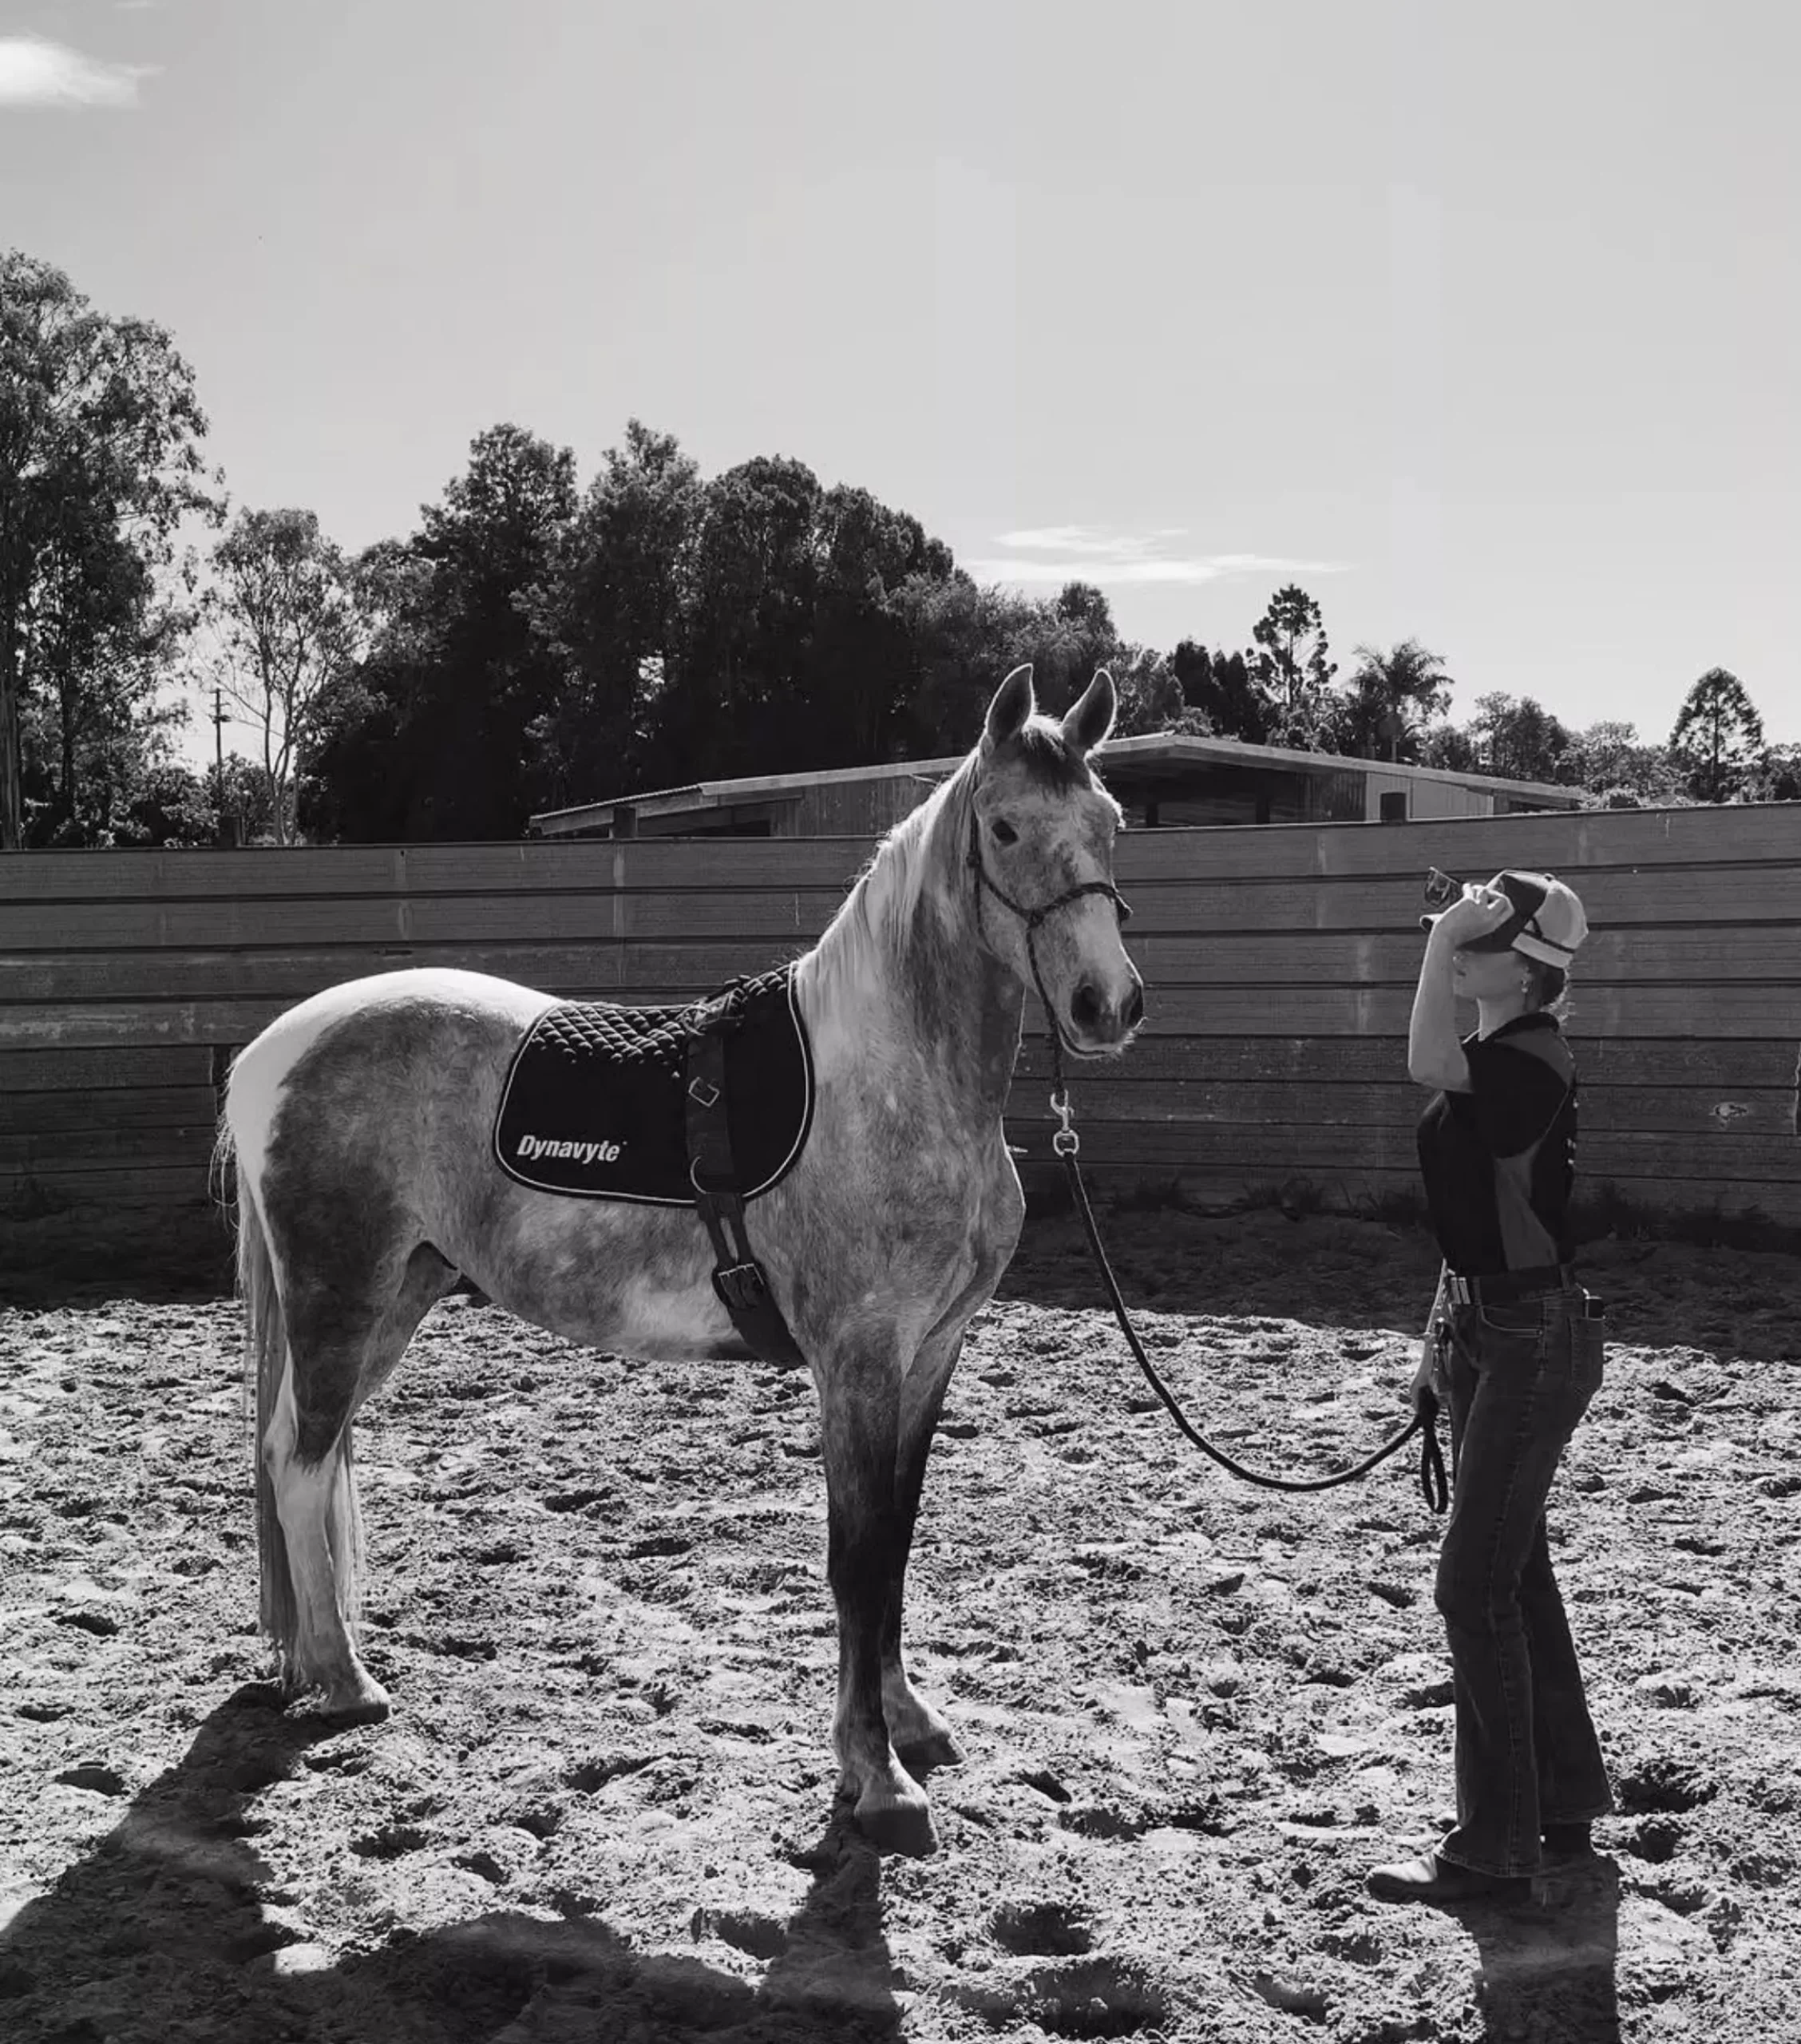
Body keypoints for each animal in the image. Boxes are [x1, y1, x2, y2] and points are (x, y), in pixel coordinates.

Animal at [210, 662, 1136, 1864]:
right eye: (1008, 827)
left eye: (1111, 826)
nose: (1108, 1005)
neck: (893, 1079)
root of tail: (276, 1051)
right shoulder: (858, 1363)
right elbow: (855, 1556)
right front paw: (874, 1778)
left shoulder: (930, 1357)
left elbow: (894, 1544)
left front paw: (910, 1721)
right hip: (340, 1302)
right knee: (299, 1460)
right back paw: (345, 1680)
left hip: (395, 1300)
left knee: (307, 1464)